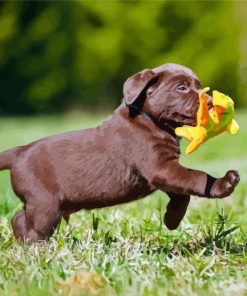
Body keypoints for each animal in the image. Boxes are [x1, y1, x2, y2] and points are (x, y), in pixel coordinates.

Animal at [0, 63, 239, 242]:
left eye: (199, 87)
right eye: (181, 88)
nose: (211, 103)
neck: (148, 119)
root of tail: (19, 152)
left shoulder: (164, 172)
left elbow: (183, 194)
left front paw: (171, 220)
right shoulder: (160, 168)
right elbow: (196, 178)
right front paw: (224, 183)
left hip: (41, 202)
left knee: (19, 218)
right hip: (45, 203)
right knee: (34, 228)